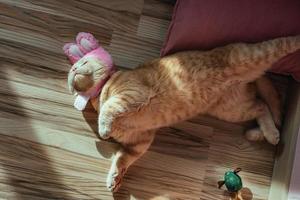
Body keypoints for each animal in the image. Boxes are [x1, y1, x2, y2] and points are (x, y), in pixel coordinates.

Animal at [68, 35, 300, 191]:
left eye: (83, 62)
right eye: (74, 67)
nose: (72, 70)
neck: (101, 92)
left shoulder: (132, 94)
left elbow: (110, 108)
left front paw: (103, 127)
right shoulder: (139, 142)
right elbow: (122, 159)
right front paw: (115, 177)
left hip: (254, 56)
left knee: (284, 44)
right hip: (233, 109)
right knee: (261, 105)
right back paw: (265, 134)